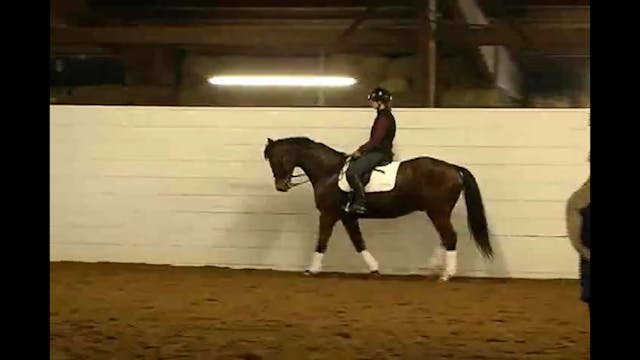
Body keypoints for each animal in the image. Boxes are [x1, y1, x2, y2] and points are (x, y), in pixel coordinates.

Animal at [262, 136, 492, 280]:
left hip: (438, 211)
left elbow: (322, 241)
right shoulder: (347, 217)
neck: (329, 172)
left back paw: (446, 274)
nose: (281, 186)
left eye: (276, 159)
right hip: (437, 212)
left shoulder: (328, 215)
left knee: (449, 237)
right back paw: (434, 265)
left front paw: (311, 270)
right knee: (445, 238)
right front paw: (374, 268)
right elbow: (358, 242)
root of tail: (454, 169)